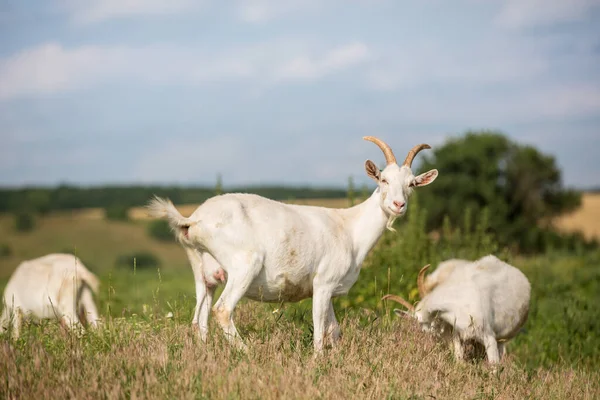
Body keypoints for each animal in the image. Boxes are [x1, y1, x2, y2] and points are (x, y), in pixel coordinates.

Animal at [145, 136, 436, 352]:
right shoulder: (323, 283)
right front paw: (318, 361)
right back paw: (247, 352)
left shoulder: (329, 288)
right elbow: (320, 330)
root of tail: (193, 219)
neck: (349, 227)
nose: (398, 205)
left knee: (199, 319)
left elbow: (335, 330)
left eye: (411, 184)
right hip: (244, 265)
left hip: (203, 272)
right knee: (222, 310)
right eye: (384, 180)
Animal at [384, 255, 528, 364]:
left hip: (505, 338)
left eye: (431, 319)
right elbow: (459, 359)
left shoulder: (489, 337)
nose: (433, 336)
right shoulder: (457, 336)